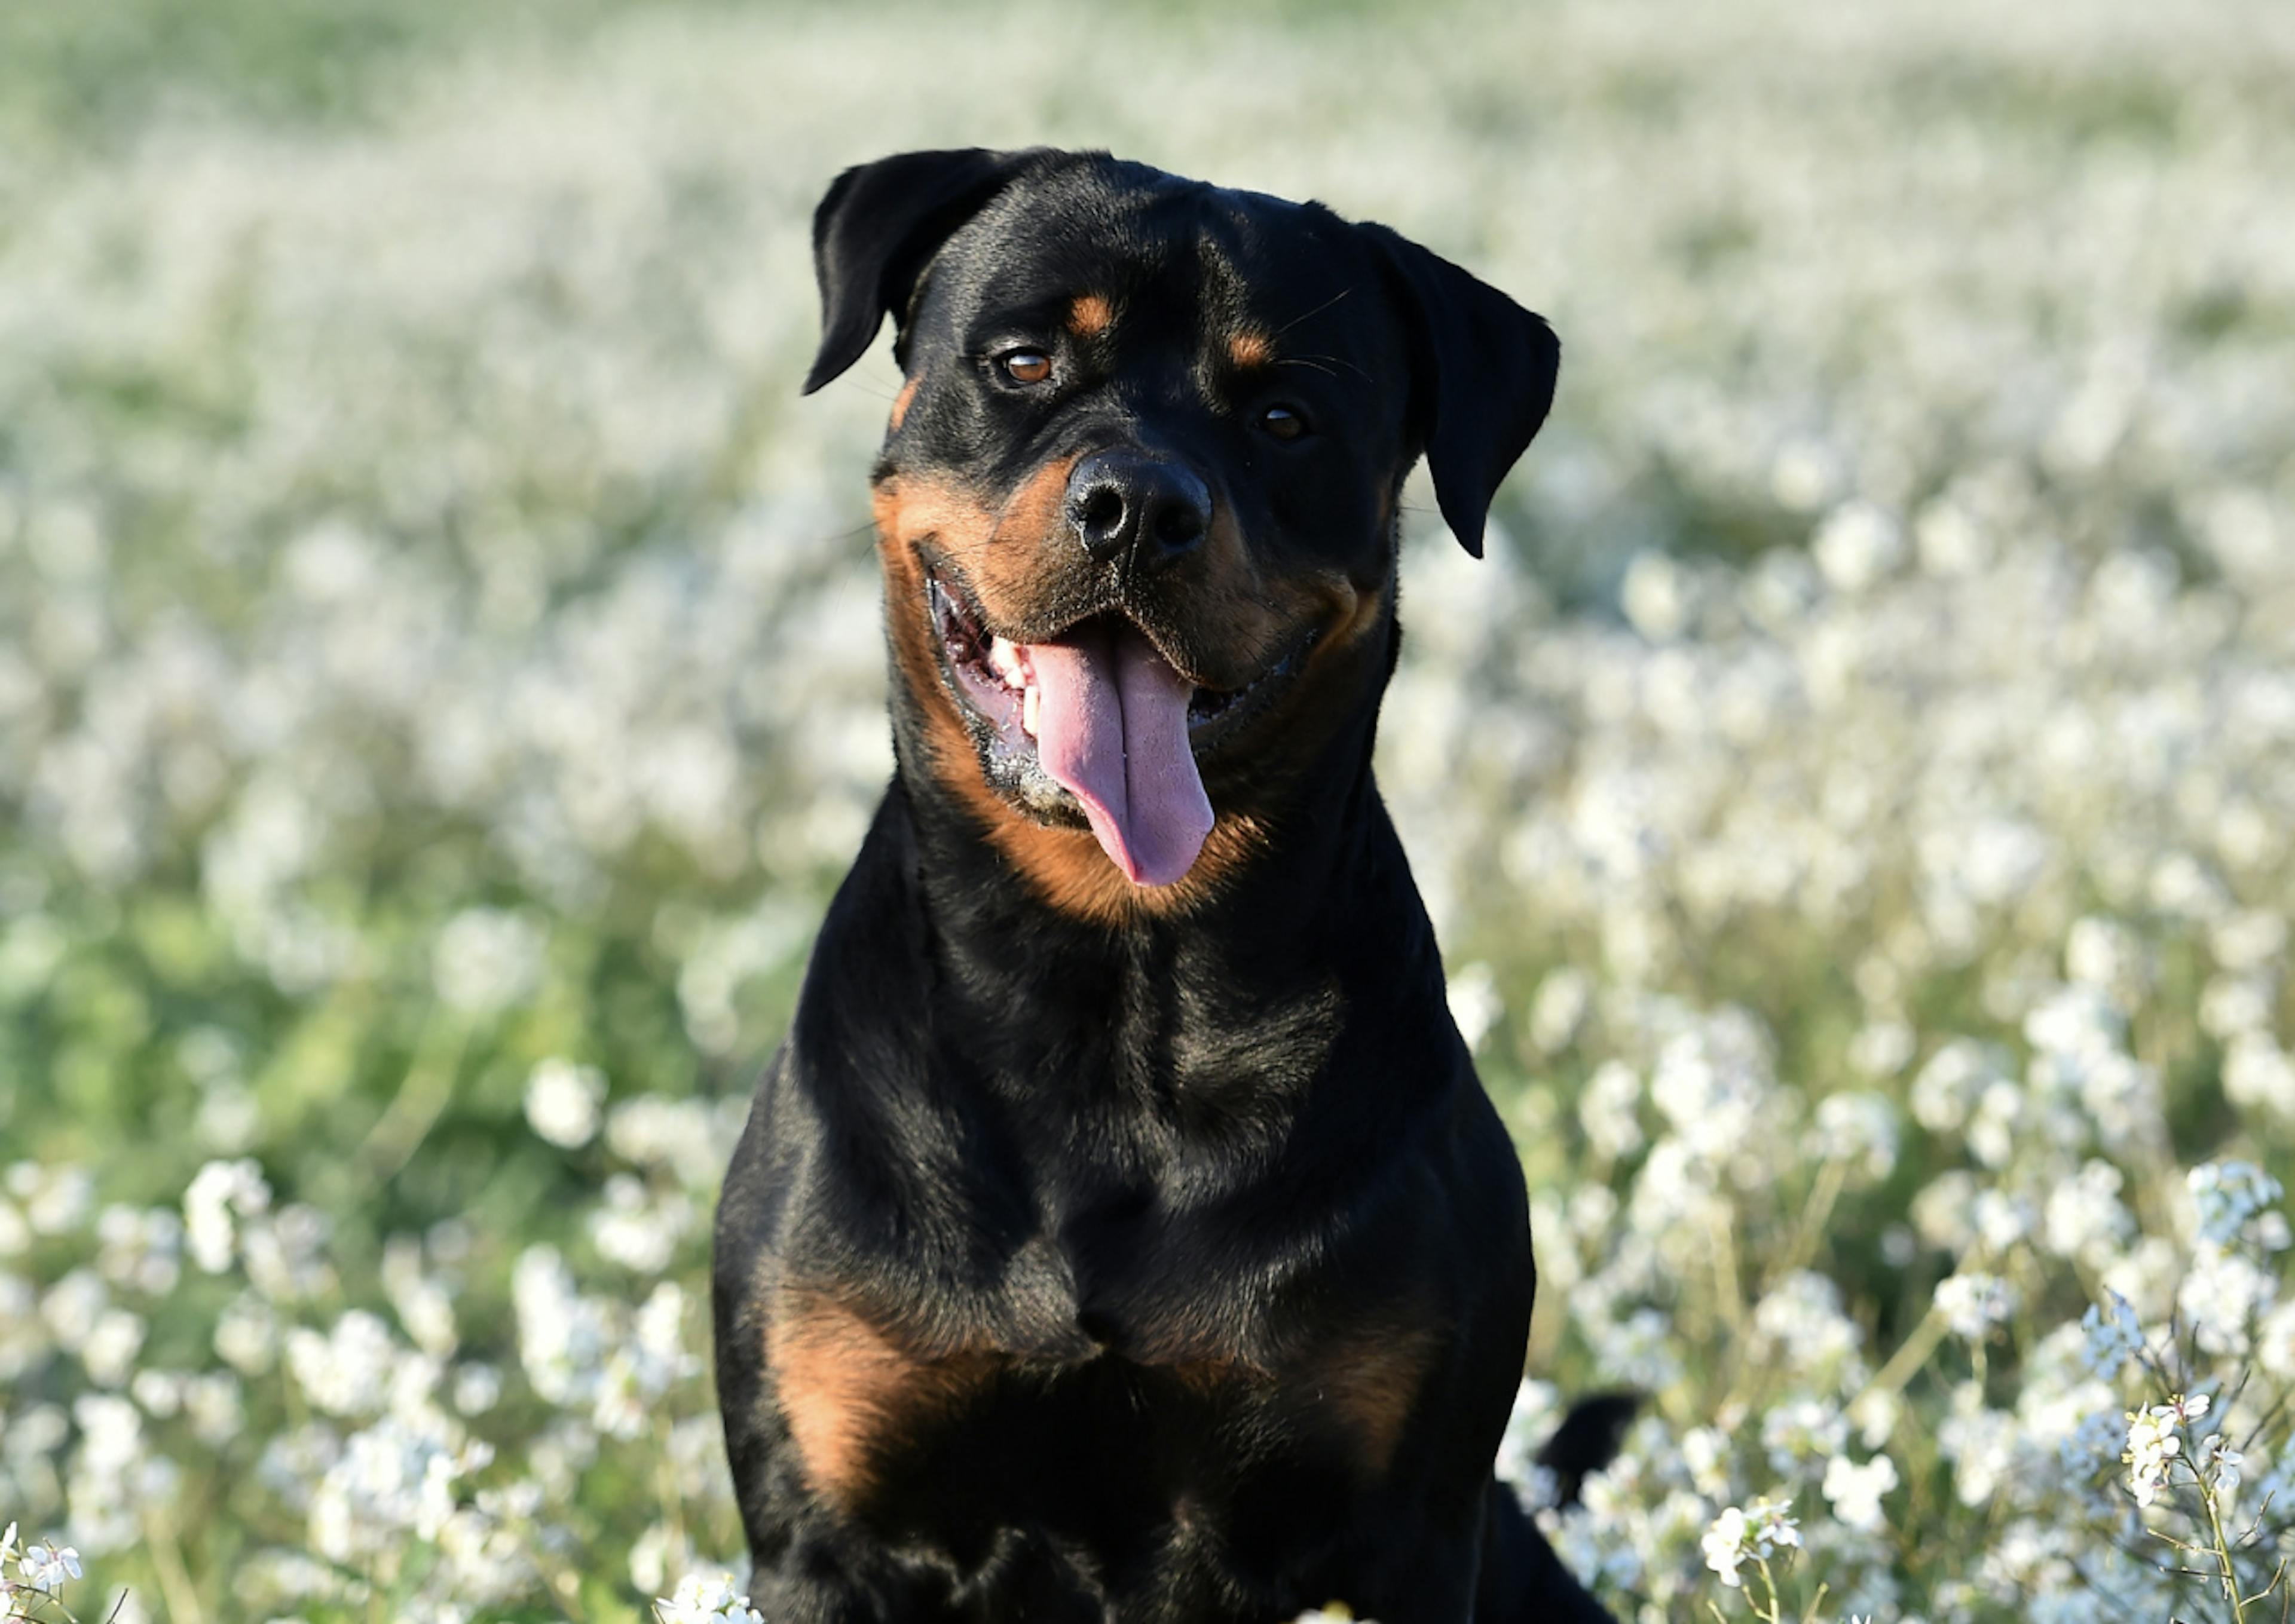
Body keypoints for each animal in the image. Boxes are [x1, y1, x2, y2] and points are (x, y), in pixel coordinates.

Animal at [706, 145, 1624, 1614]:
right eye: (1022, 361)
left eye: (1287, 418)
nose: (1137, 505)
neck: (1116, 970)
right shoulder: (822, 1531)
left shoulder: (1411, 1532)